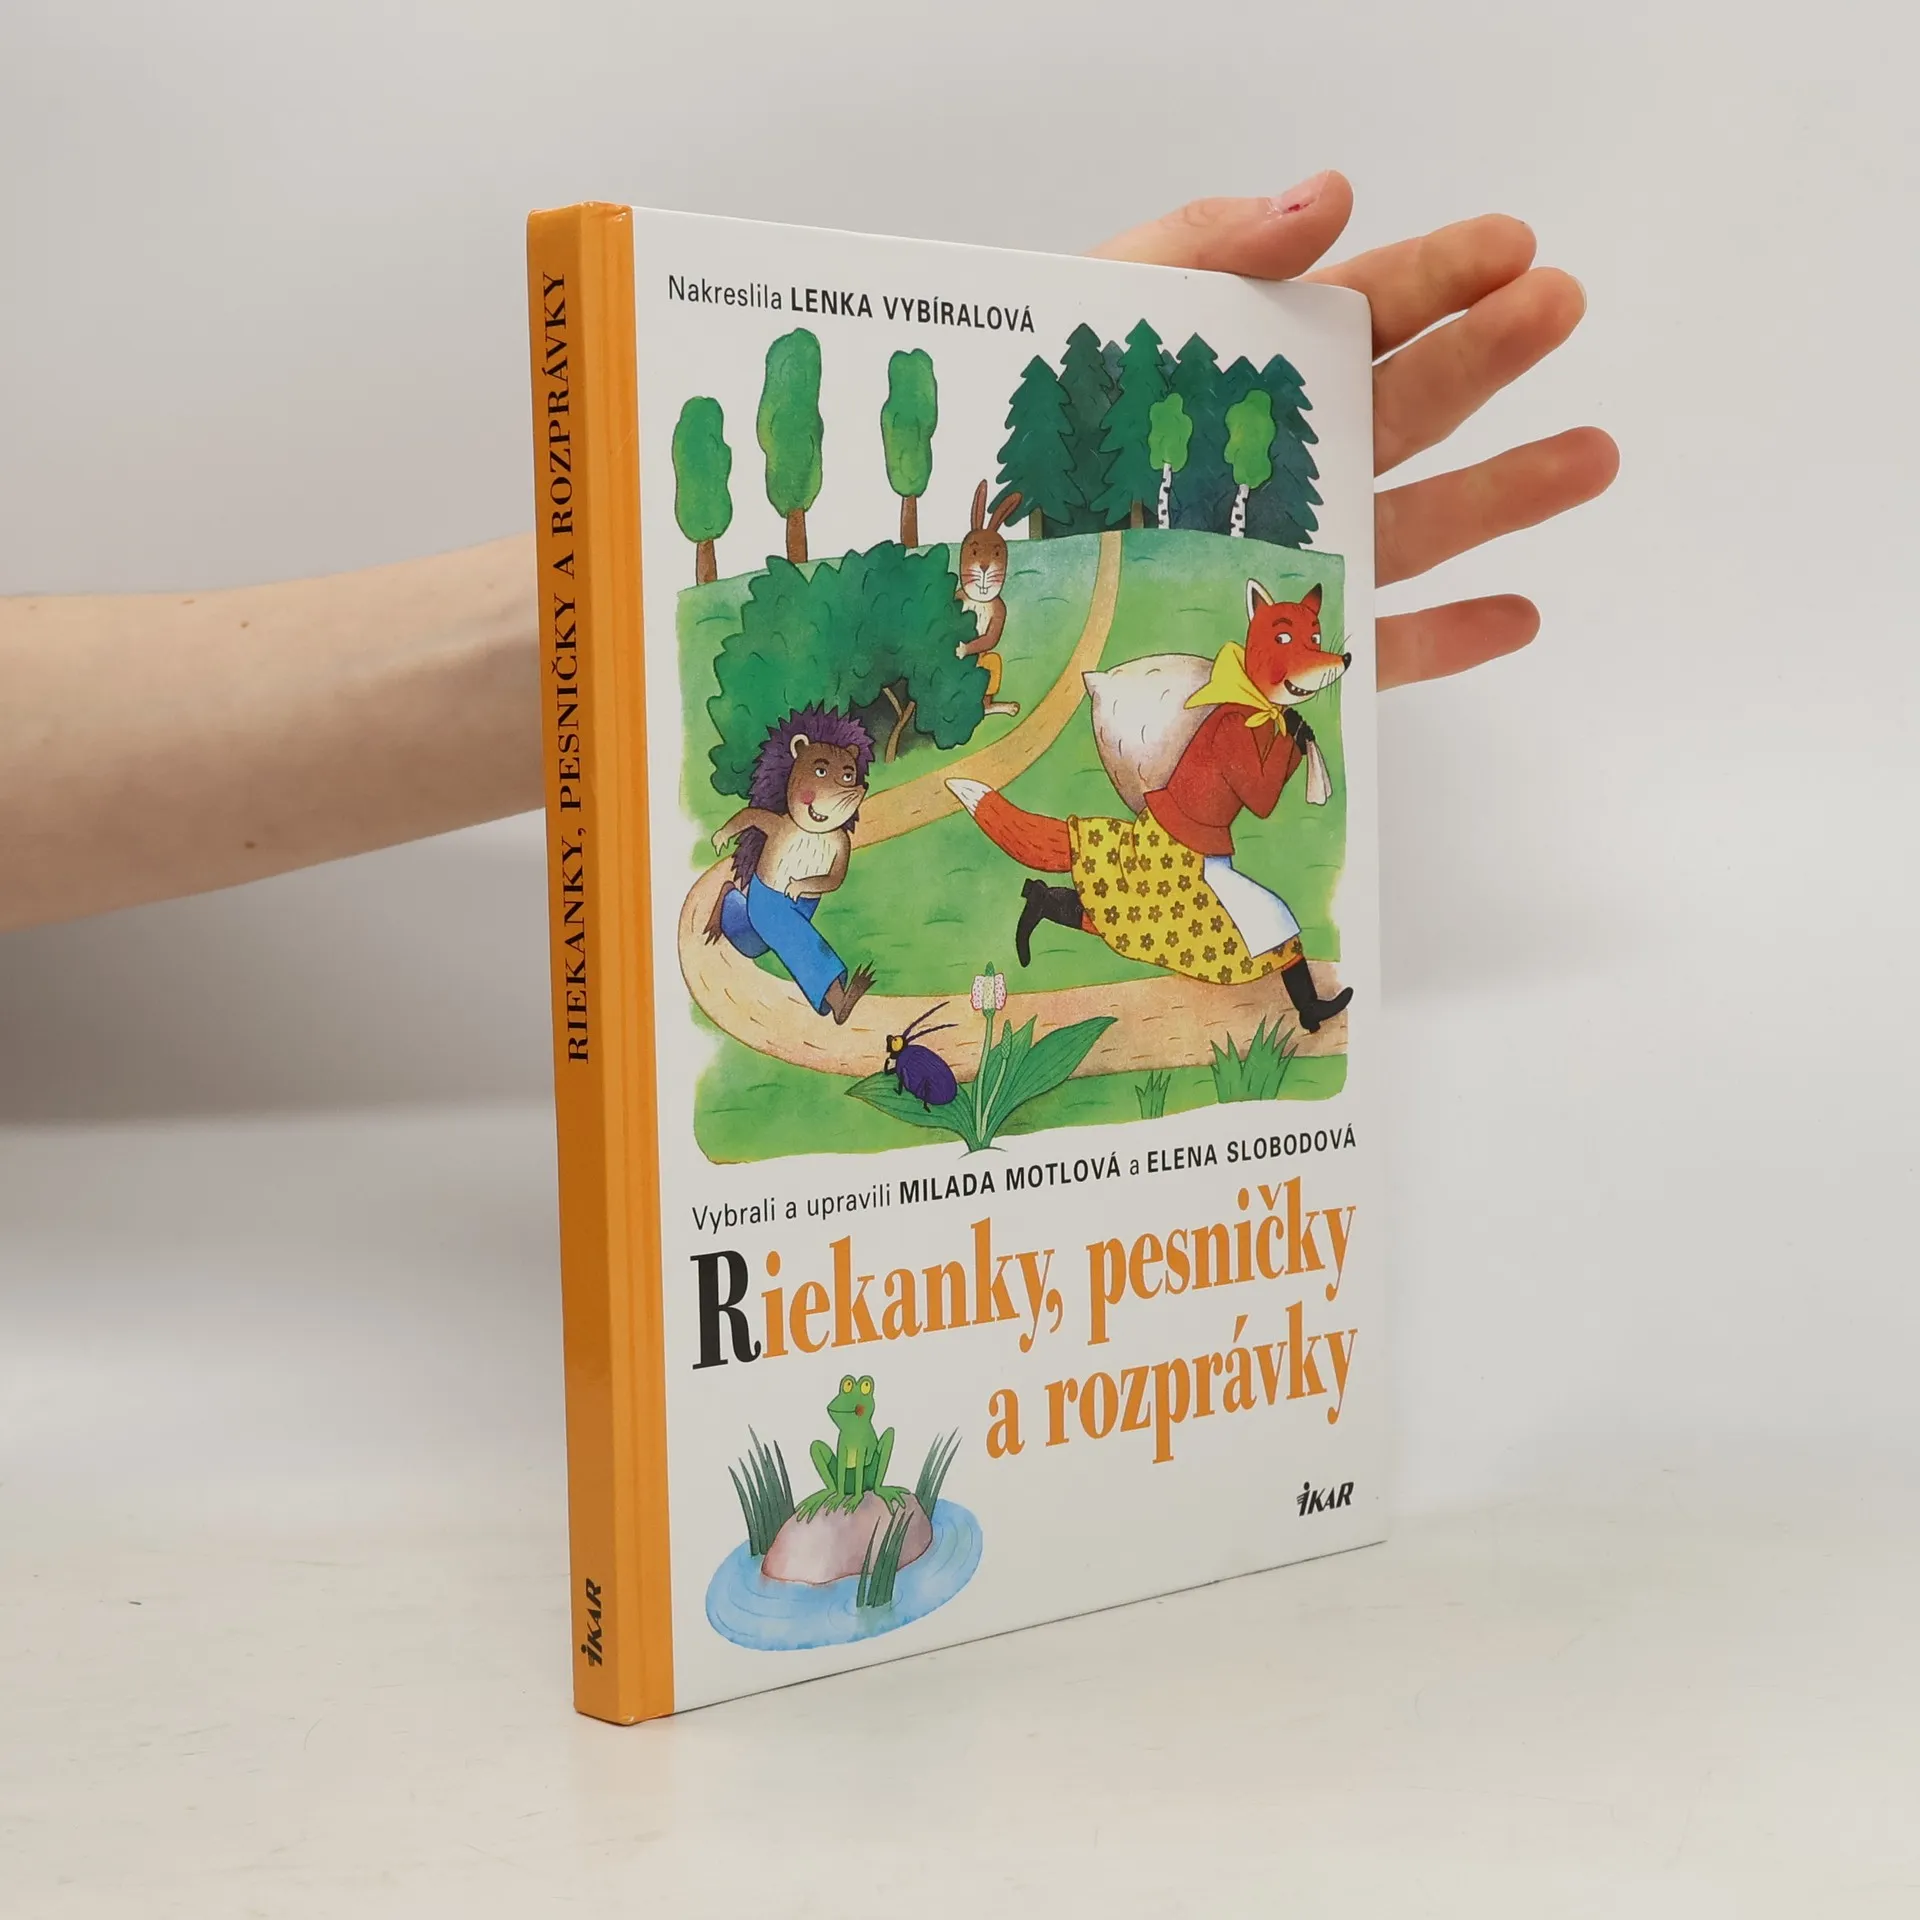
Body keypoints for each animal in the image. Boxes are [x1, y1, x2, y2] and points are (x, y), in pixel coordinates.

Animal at [948, 580, 1355, 1031]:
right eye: (1283, 638)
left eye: (1315, 636)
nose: (1345, 658)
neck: (1253, 702)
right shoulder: (1233, 741)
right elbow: (1258, 797)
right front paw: (1297, 731)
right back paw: (1032, 908)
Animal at [955, 480, 1022, 717]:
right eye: (974, 552)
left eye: (997, 553)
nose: (984, 567)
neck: (980, 601)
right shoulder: (958, 596)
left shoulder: (1000, 609)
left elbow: (991, 638)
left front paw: (962, 649)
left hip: (987, 662)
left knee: (992, 665)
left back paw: (994, 708)